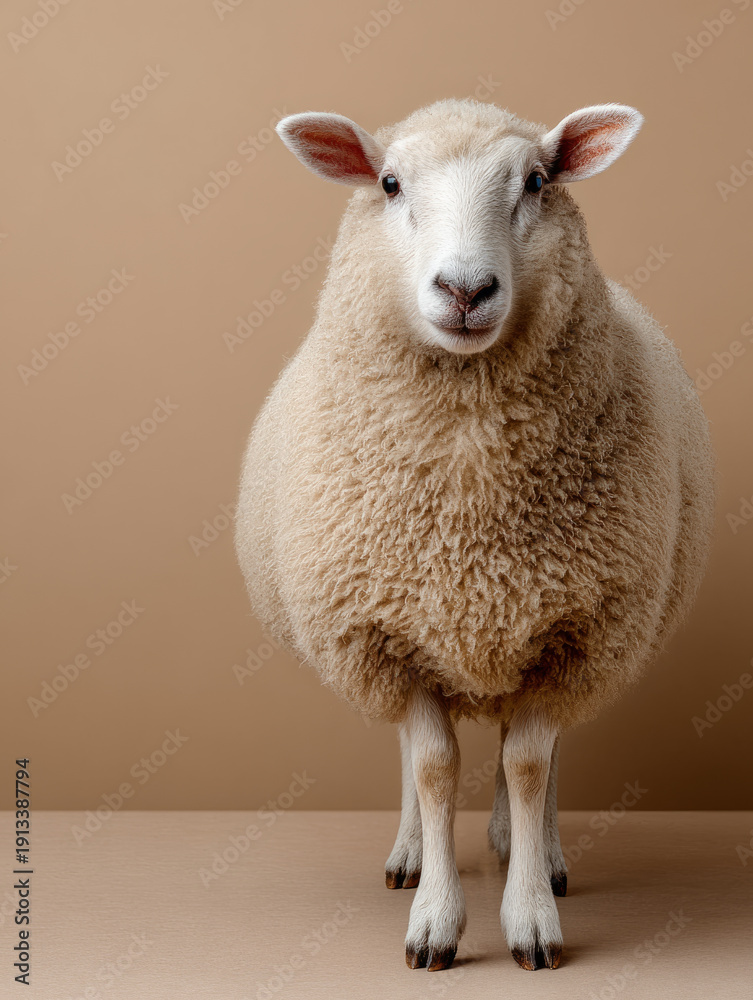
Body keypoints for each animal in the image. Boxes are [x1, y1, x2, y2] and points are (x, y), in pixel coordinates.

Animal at [234, 98, 715, 973]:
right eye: (390, 183)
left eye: (536, 181)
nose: (464, 289)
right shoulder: (386, 632)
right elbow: (429, 767)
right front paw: (434, 919)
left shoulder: (573, 632)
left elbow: (526, 767)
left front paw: (528, 917)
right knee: (414, 756)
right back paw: (409, 853)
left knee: (537, 762)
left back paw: (534, 852)